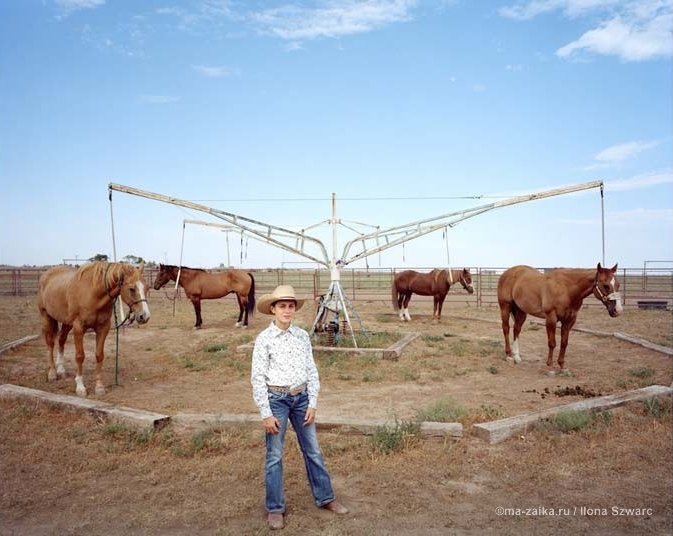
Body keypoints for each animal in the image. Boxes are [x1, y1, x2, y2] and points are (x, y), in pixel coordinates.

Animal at [36, 262, 150, 396]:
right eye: (132, 288)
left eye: (147, 288)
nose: (145, 316)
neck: (93, 293)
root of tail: (46, 275)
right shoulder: (79, 328)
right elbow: (80, 356)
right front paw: (80, 387)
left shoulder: (103, 328)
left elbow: (99, 355)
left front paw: (99, 386)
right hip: (46, 317)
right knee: (50, 343)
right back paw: (52, 373)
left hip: (67, 322)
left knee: (61, 340)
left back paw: (61, 369)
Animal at [496, 262, 624, 372]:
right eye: (605, 285)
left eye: (618, 284)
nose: (618, 310)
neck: (566, 289)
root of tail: (507, 273)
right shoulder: (551, 318)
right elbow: (552, 343)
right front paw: (550, 366)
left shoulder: (569, 320)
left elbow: (564, 343)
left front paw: (562, 366)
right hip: (505, 307)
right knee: (506, 329)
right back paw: (509, 356)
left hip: (521, 311)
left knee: (516, 330)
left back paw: (517, 357)